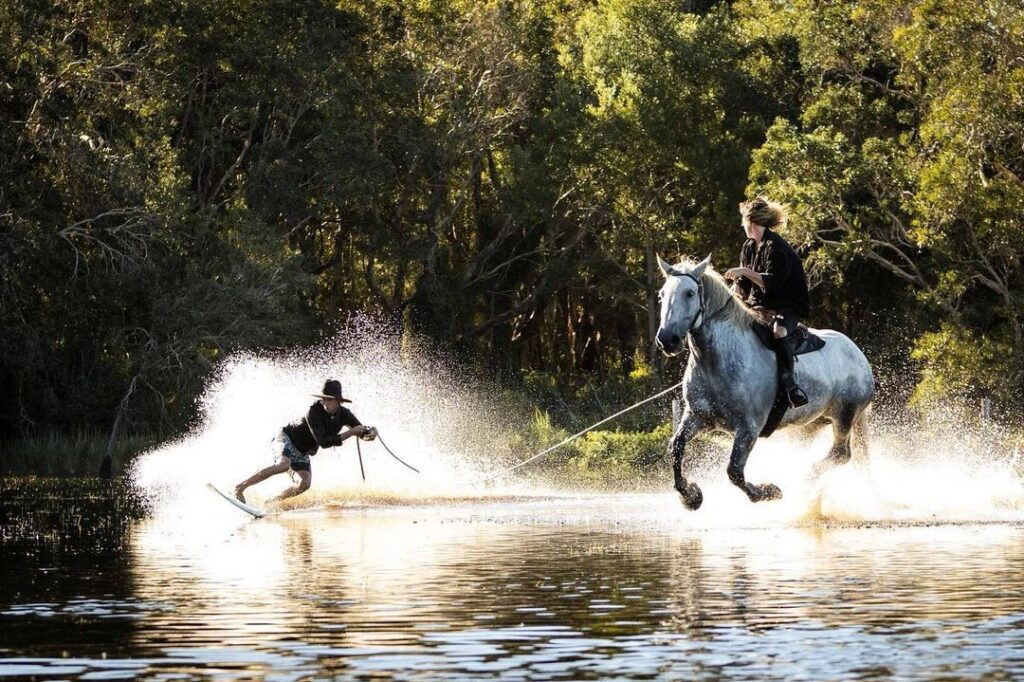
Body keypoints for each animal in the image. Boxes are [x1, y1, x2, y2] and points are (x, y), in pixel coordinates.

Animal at [655, 253, 872, 503]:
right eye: (662, 294)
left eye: (689, 293)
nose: (666, 340)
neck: (716, 363)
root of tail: (858, 355)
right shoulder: (698, 417)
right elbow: (676, 447)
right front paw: (691, 496)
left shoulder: (749, 428)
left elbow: (734, 471)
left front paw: (768, 491)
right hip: (811, 423)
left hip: (845, 414)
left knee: (841, 453)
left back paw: (806, 477)